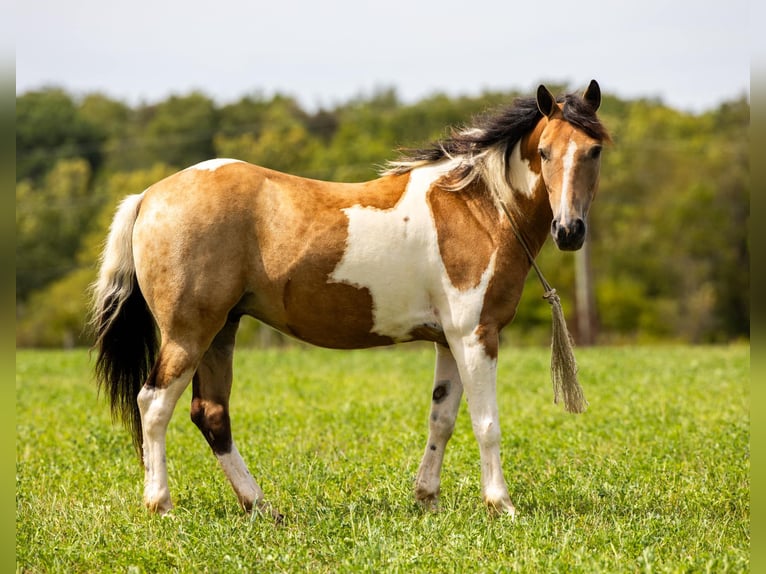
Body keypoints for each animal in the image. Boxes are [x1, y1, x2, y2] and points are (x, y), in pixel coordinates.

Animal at [91, 80, 609, 518]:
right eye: (543, 152)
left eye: (595, 151)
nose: (569, 231)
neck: (475, 207)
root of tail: (149, 196)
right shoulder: (476, 335)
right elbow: (487, 422)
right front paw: (501, 504)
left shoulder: (450, 340)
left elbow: (441, 419)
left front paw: (427, 498)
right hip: (189, 333)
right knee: (154, 404)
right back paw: (161, 504)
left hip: (222, 330)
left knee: (212, 415)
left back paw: (261, 507)